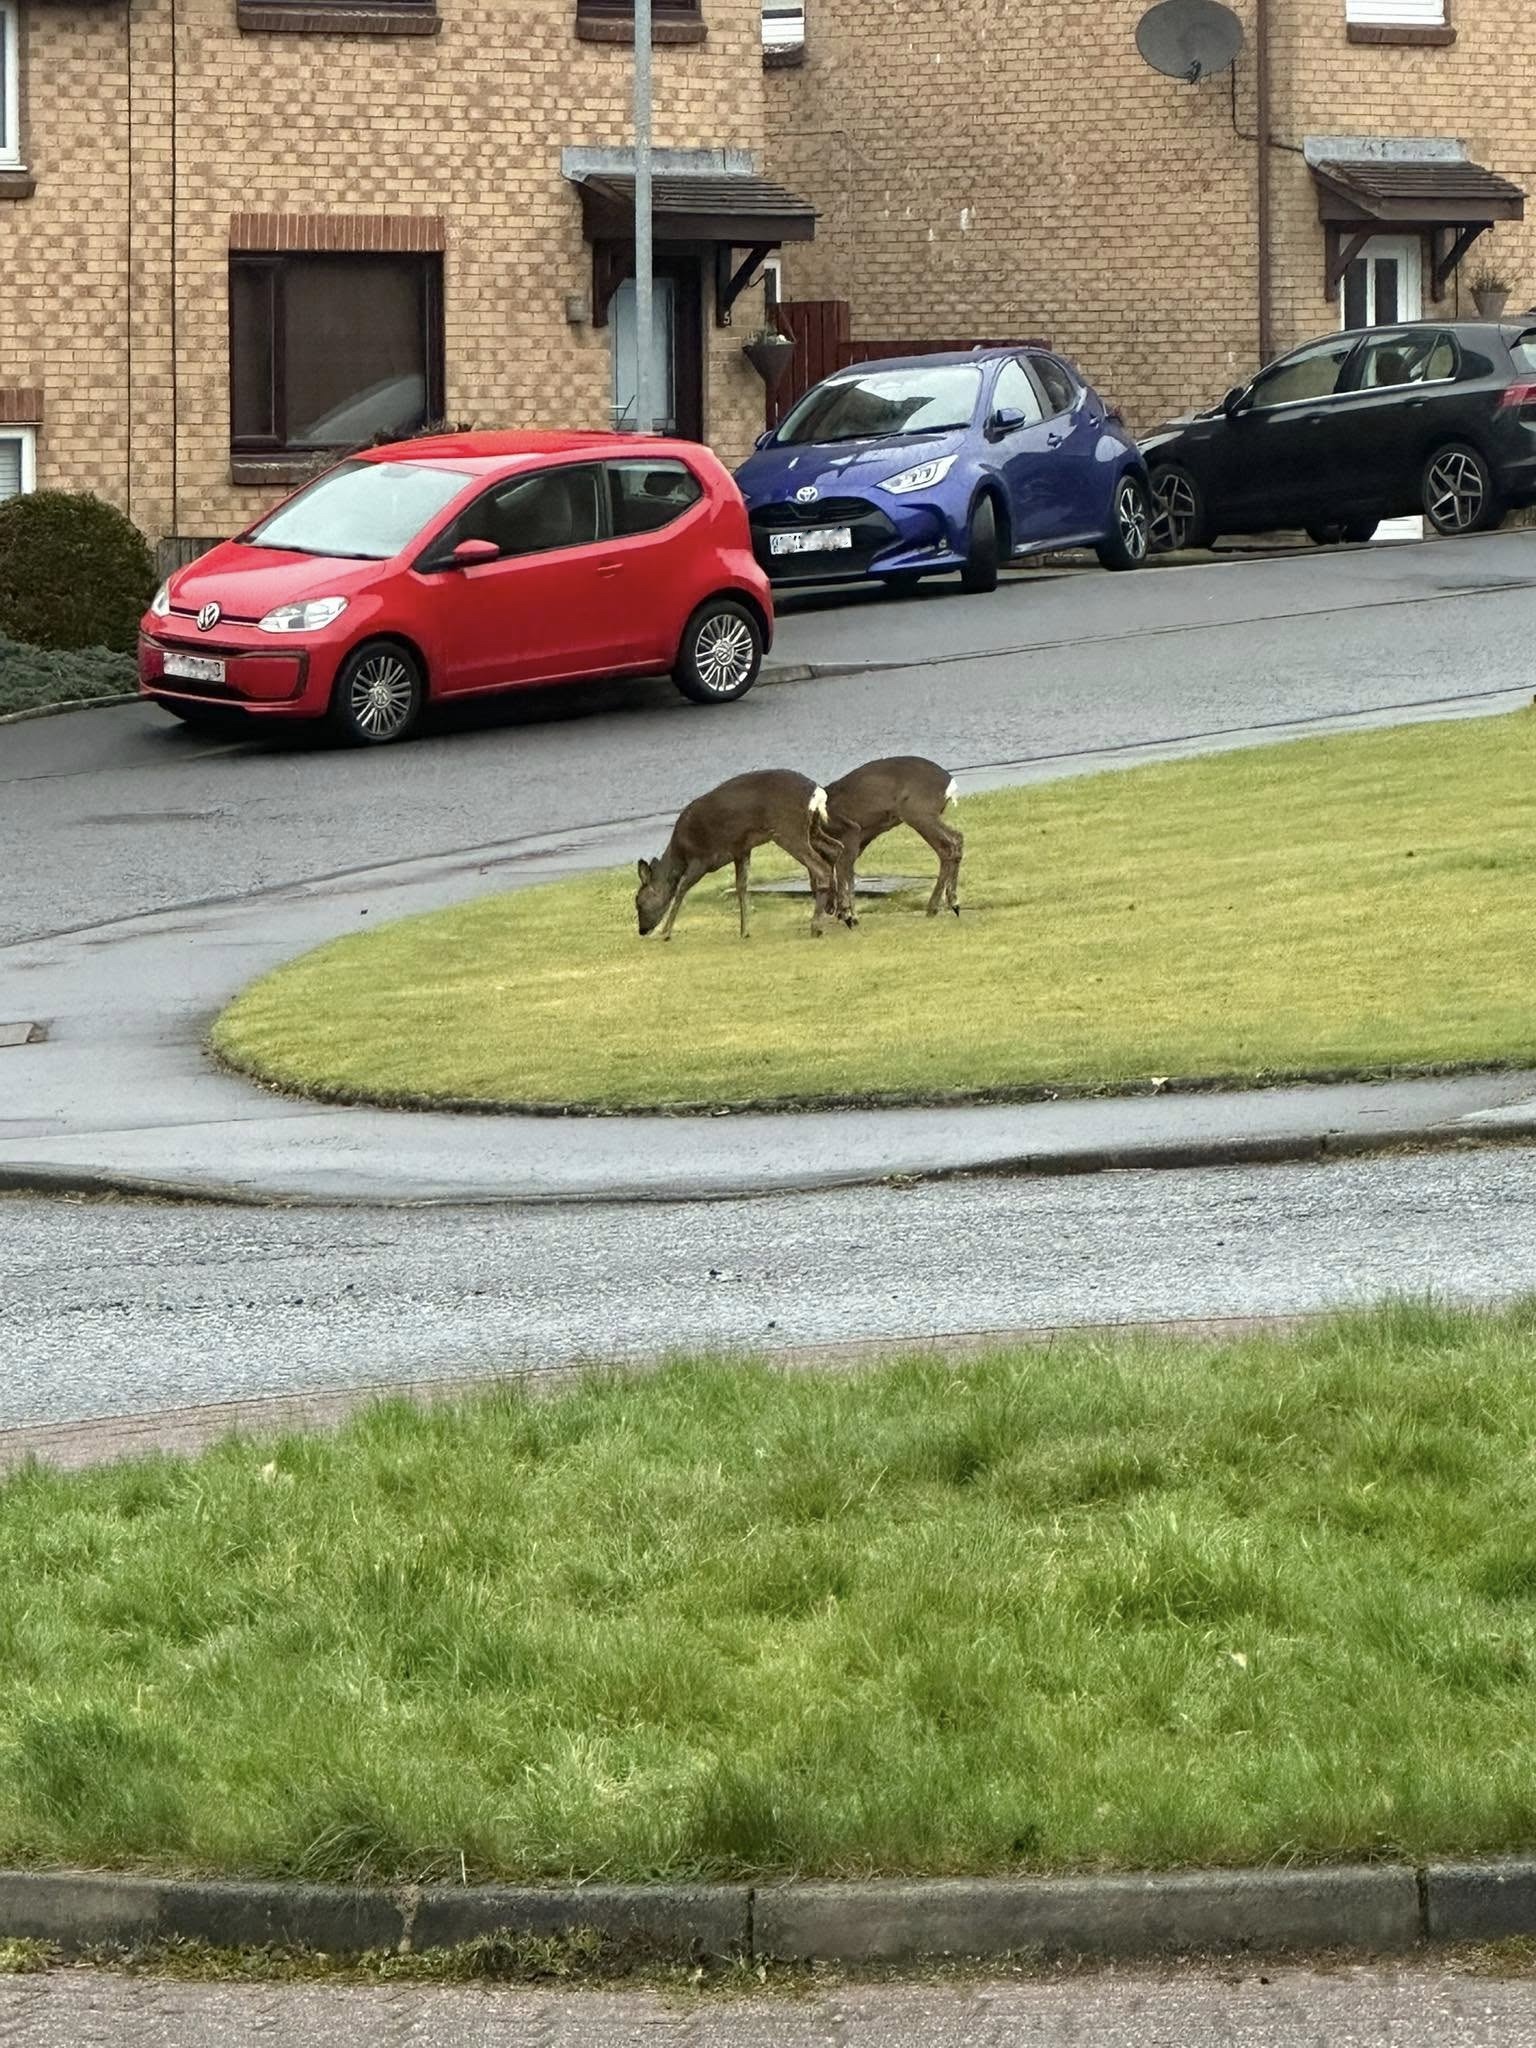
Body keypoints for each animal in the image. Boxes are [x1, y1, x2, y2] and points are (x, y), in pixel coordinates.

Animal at [635, 770, 843, 941]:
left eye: (639, 903)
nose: (642, 930)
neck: (680, 852)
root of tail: (817, 792)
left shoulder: (701, 858)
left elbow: (681, 888)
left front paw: (666, 932)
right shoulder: (741, 850)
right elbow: (741, 885)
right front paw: (744, 931)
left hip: (788, 828)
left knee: (820, 867)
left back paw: (816, 926)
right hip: (812, 828)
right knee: (836, 848)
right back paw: (840, 911)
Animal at [820, 756, 963, 923]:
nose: (829, 908)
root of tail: (949, 783)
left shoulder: (850, 833)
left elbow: (842, 868)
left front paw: (846, 914)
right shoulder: (861, 837)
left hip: (918, 812)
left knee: (947, 846)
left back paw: (933, 908)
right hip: (924, 815)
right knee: (957, 838)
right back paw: (952, 903)